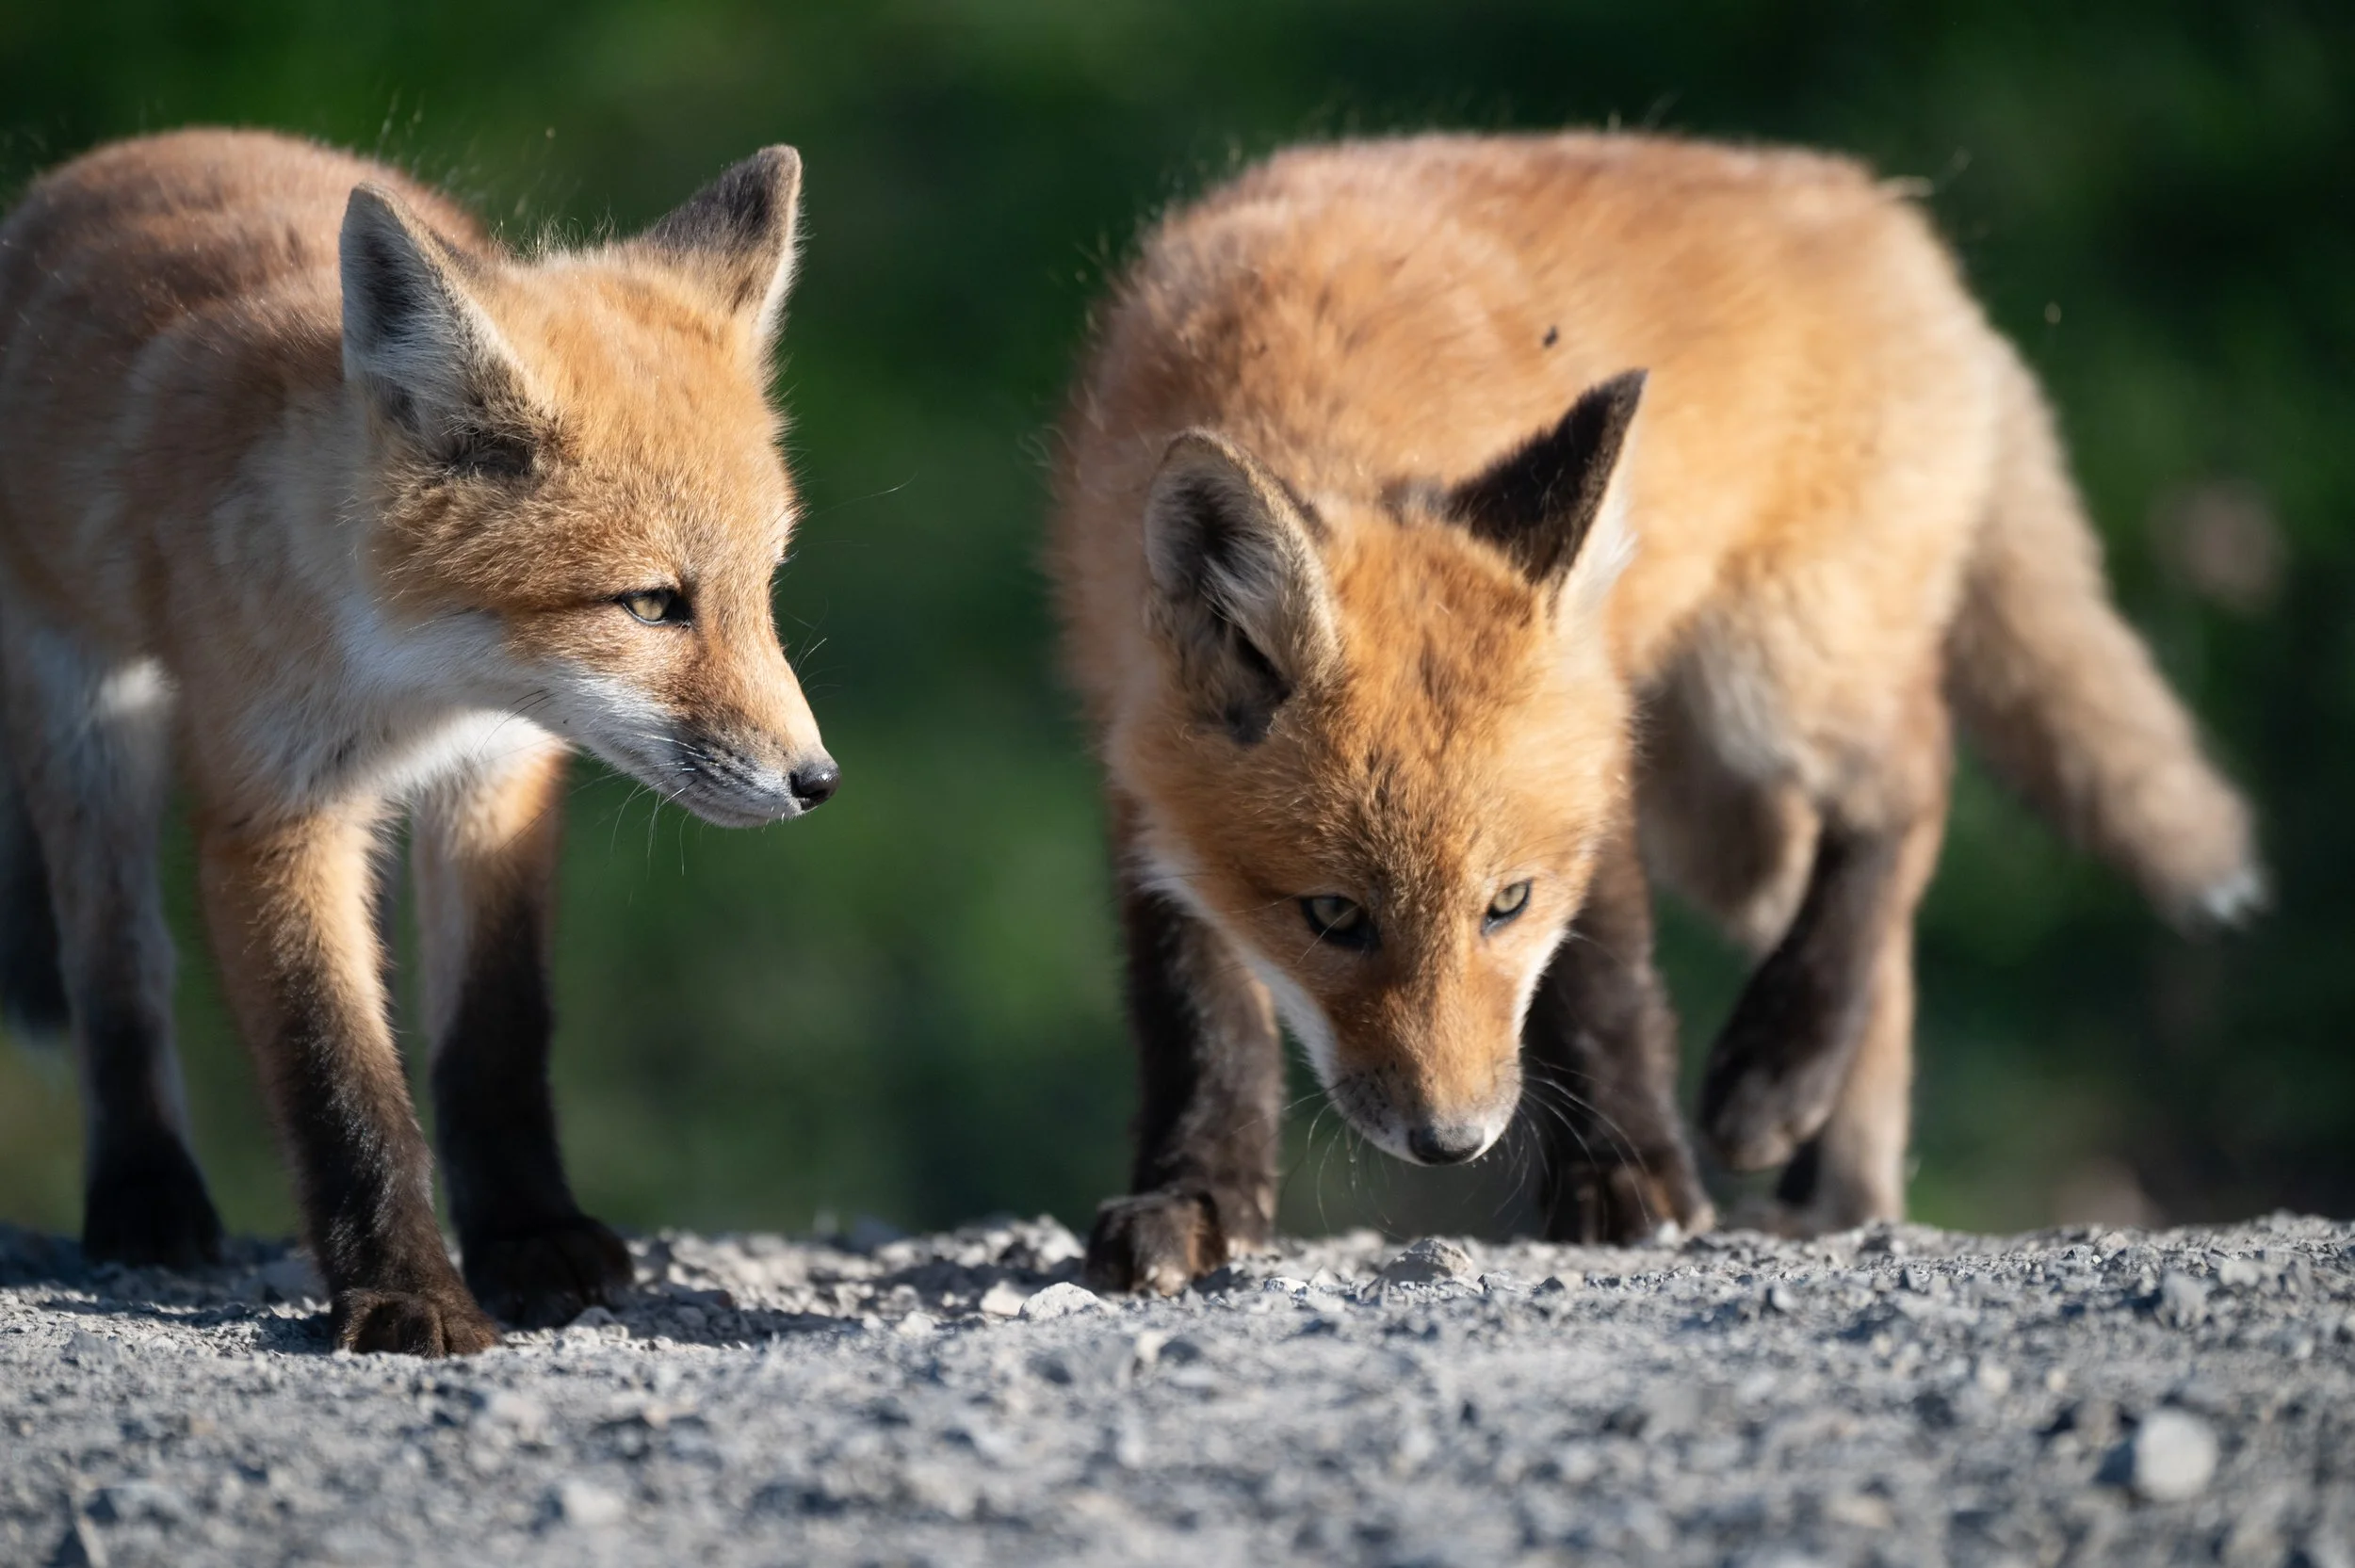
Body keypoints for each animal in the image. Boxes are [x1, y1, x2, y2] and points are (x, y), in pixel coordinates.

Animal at [0, 130, 839, 1354]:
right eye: (651, 604)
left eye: (763, 591)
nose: (816, 780)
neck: (421, 686)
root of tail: (130, 154)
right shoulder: (274, 813)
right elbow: (338, 1079)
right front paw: (405, 1293)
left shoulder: (501, 781)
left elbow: (494, 1040)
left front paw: (531, 1238)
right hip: (83, 720)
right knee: (115, 968)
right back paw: (144, 1195)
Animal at [1051, 131, 2261, 1294]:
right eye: (1333, 917)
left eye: (1506, 904)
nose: (1451, 1140)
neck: (1310, 388)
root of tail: (1887, 213)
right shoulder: (1139, 774)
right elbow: (1197, 1016)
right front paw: (1194, 1198)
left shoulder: (1592, 776)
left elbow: (1607, 974)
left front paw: (1629, 1176)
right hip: (1715, 813)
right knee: (1862, 936)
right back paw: (1840, 1185)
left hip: (1771, 680)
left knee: (1910, 782)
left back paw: (1779, 1067)